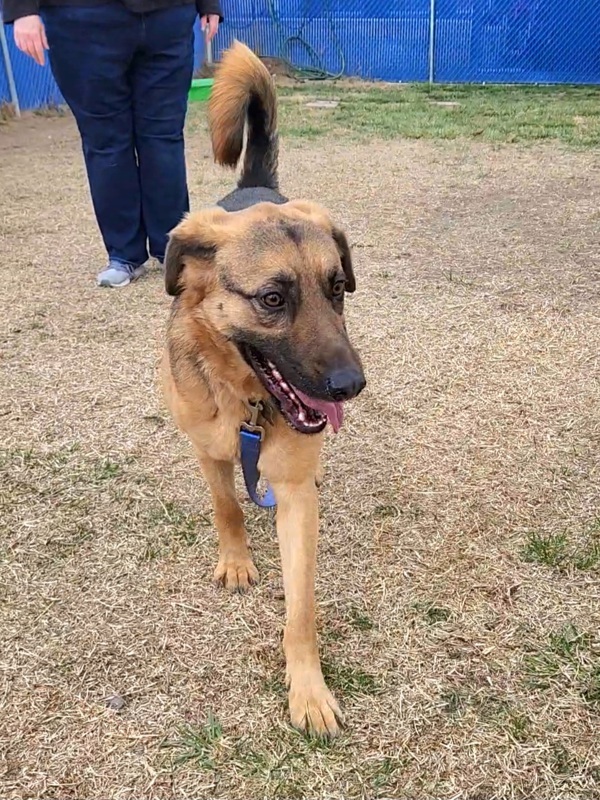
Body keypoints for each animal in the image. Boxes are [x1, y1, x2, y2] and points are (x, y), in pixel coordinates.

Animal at [161, 40, 366, 736]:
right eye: (273, 299)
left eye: (337, 288)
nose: (351, 385)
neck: (248, 399)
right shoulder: (207, 449)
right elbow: (226, 505)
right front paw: (237, 560)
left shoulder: (295, 495)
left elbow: (301, 607)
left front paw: (308, 689)